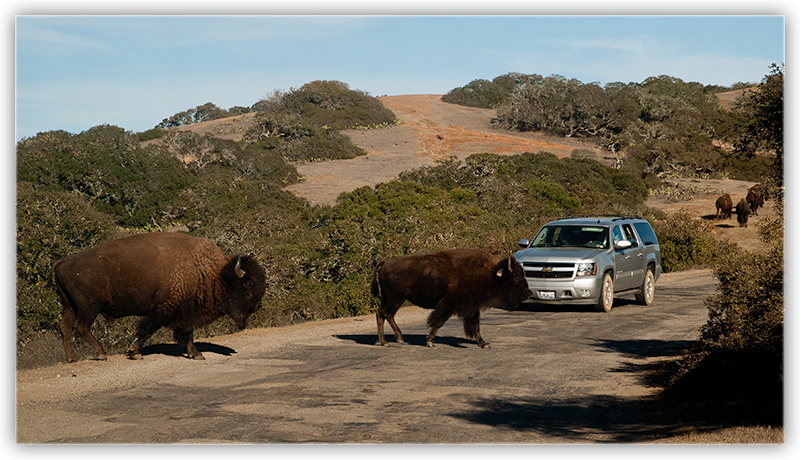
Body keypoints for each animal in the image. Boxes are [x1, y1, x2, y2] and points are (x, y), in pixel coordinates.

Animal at [51, 234, 268, 362]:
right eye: (248, 284)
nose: (258, 306)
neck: (212, 273)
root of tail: (63, 261)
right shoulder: (163, 310)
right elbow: (147, 330)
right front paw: (135, 353)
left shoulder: (184, 312)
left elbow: (187, 334)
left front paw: (196, 354)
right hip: (89, 307)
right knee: (82, 327)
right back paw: (101, 354)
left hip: (69, 306)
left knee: (66, 327)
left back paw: (73, 358)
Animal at [370, 250, 532, 346]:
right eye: (516, 277)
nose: (528, 293)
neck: (491, 274)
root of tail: (386, 262)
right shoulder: (450, 304)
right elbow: (439, 321)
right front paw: (430, 341)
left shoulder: (472, 308)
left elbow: (476, 326)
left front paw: (483, 343)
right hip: (395, 299)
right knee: (387, 314)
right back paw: (398, 338)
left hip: (388, 299)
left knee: (380, 314)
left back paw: (383, 341)